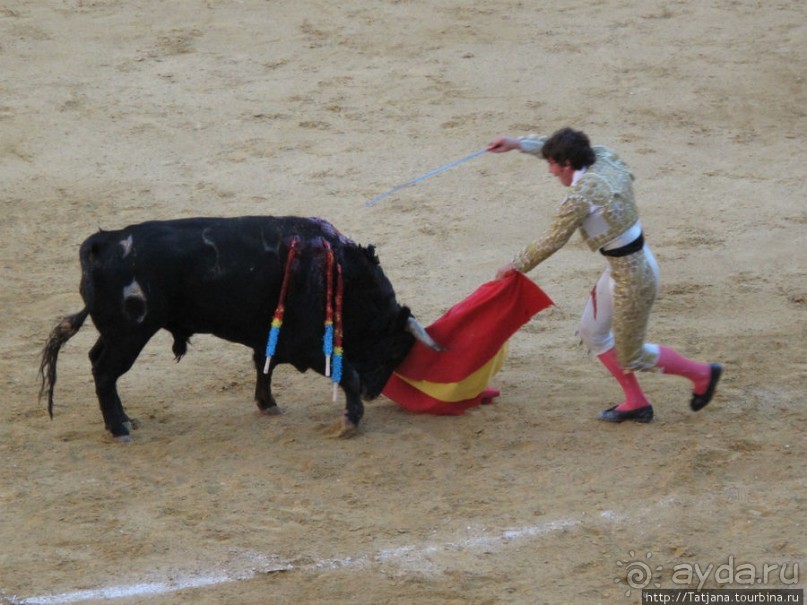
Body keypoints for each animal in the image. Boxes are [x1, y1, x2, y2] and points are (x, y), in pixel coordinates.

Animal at [38, 215, 442, 442]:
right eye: (394, 349)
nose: (376, 393)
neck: (343, 274)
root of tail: (102, 243)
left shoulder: (273, 337)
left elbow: (265, 366)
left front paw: (268, 404)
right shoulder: (312, 345)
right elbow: (348, 375)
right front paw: (350, 422)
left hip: (117, 334)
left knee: (96, 360)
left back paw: (123, 421)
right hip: (130, 335)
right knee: (105, 371)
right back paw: (119, 427)